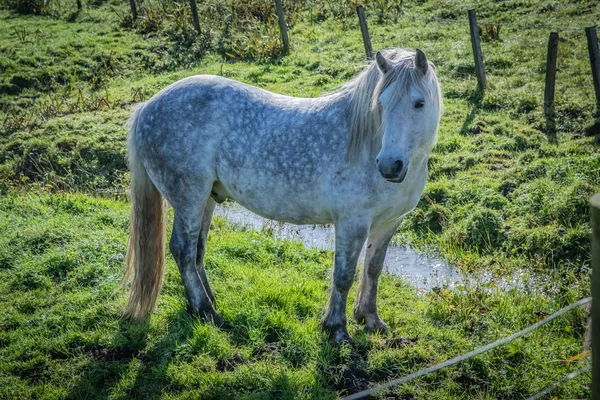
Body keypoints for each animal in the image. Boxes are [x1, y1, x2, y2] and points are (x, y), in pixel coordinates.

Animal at [123, 48, 440, 342]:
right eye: (381, 103)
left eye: (419, 103)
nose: (389, 165)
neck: (365, 141)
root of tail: (147, 106)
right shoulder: (352, 223)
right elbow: (343, 276)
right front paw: (337, 329)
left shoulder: (388, 224)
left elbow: (373, 270)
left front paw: (370, 319)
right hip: (189, 198)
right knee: (183, 250)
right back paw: (207, 312)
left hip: (206, 200)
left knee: (197, 252)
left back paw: (204, 304)